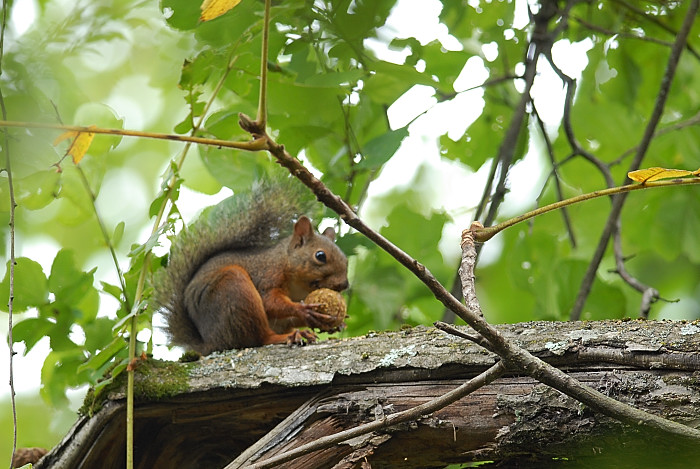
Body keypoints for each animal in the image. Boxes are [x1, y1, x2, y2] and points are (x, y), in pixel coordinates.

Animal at [153, 177, 350, 352]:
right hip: (234, 291)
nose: (344, 284)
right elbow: (269, 301)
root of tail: (211, 343)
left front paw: (338, 323)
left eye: (346, 260)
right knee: (259, 339)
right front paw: (302, 309)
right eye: (320, 256)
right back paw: (287, 336)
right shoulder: (267, 274)